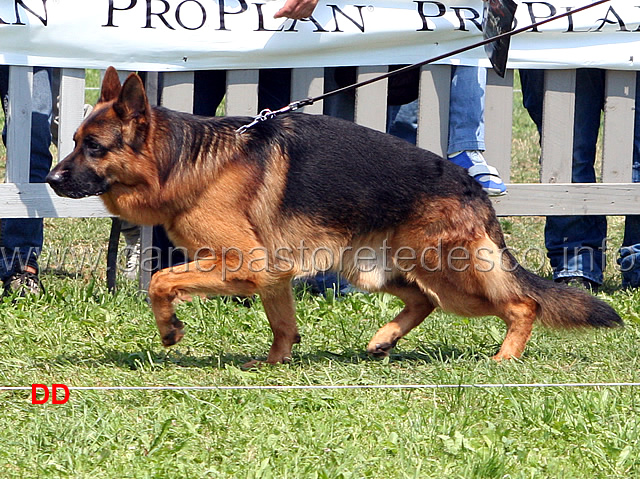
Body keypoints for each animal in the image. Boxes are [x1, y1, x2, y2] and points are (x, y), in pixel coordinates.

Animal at [47, 67, 624, 366]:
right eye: (73, 141)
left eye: (93, 147)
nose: (51, 178)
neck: (185, 161)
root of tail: (470, 185)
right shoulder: (270, 274)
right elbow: (282, 324)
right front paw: (275, 363)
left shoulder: (240, 265)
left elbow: (160, 280)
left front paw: (169, 329)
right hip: (372, 269)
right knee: (422, 301)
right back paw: (384, 339)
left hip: (449, 272)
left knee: (522, 303)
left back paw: (505, 359)